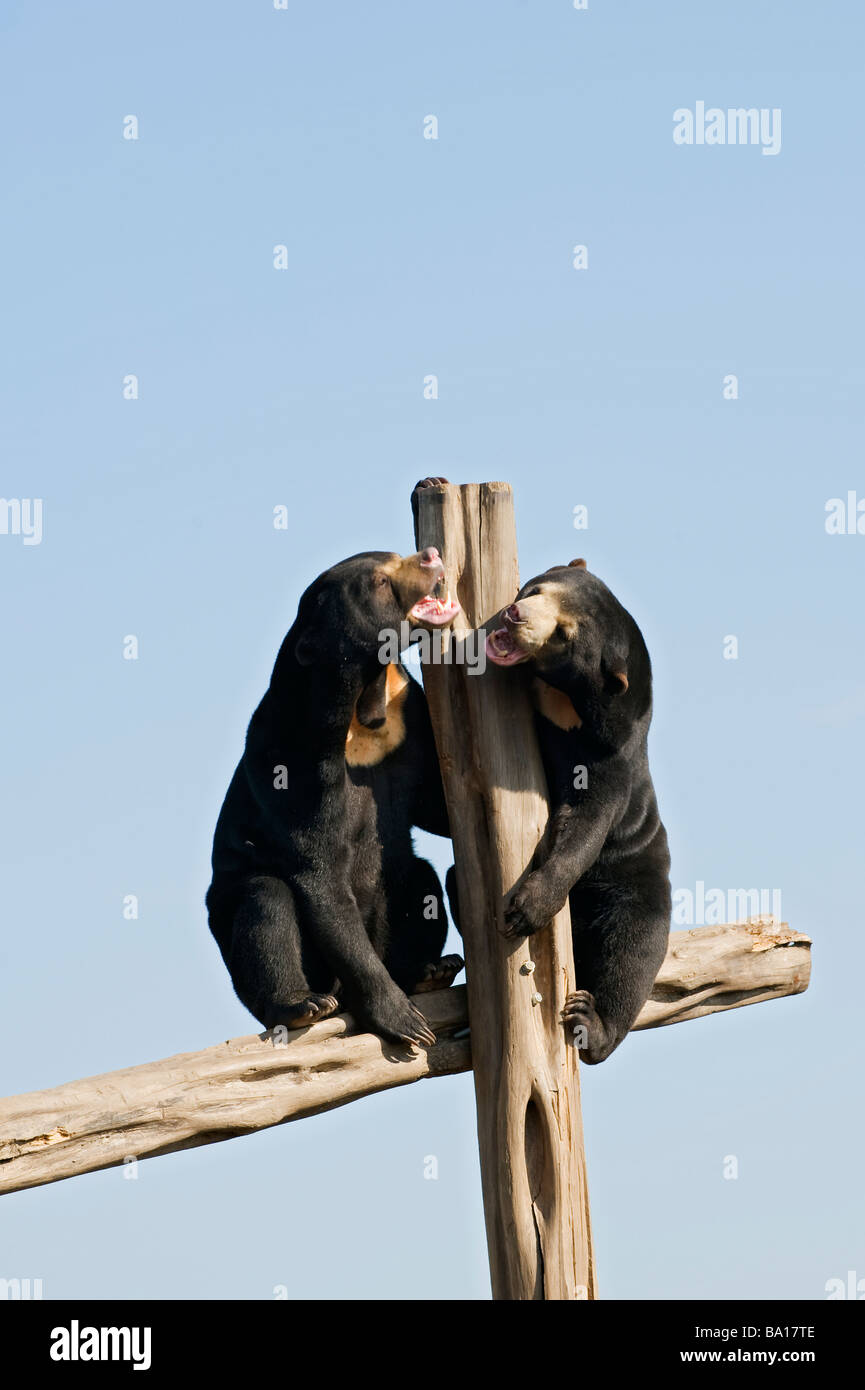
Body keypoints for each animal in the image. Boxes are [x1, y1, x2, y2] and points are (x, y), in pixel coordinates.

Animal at [207, 542, 464, 1045]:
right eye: (380, 581)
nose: (431, 555)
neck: (364, 702)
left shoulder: (408, 714)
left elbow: (434, 807)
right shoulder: (293, 760)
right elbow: (320, 875)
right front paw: (405, 1023)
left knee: (418, 876)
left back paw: (429, 971)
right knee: (265, 901)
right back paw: (301, 1005)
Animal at [483, 558, 675, 1056]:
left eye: (563, 636)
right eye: (535, 590)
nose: (513, 615)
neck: (567, 705)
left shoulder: (610, 759)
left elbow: (585, 825)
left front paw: (522, 910)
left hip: (638, 884)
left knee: (633, 954)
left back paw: (591, 1023)